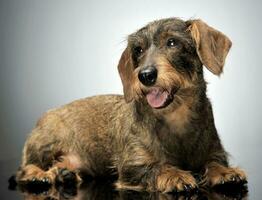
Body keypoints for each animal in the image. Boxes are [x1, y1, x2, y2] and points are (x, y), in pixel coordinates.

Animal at [15, 18, 247, 193]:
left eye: (172, 42)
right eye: (138, 50)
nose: (145, 75)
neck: (174, 118)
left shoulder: (216, 151)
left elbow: (214, 162)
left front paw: (225, 172)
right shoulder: (132, 166)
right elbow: (157, 167)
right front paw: (174, 174)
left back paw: (65, 174)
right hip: (45, 143)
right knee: (24, 169)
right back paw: (39, 175)